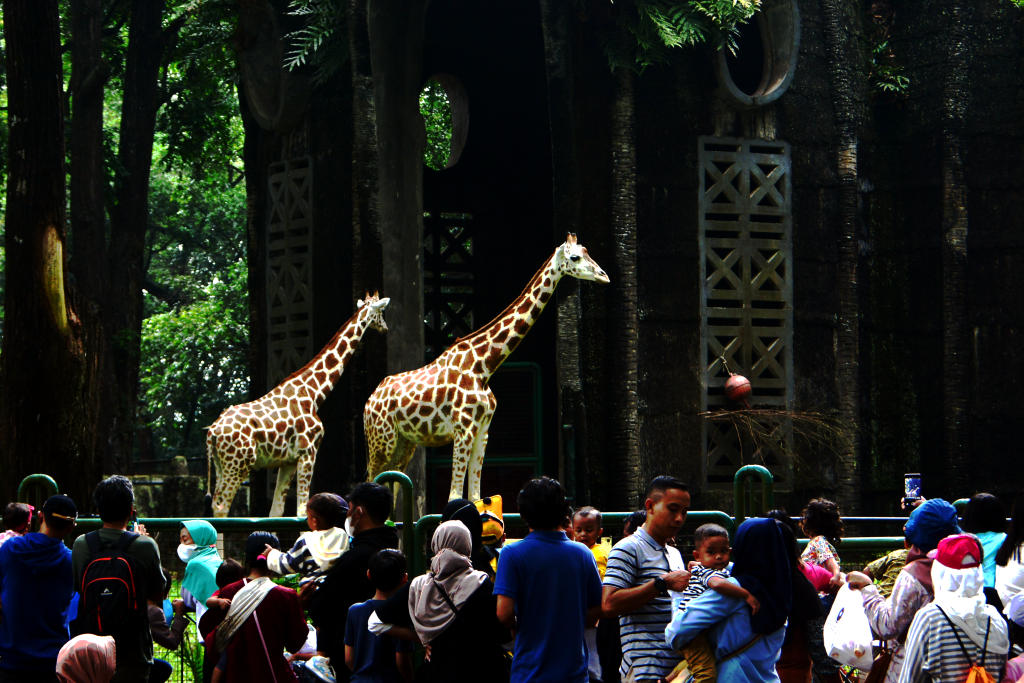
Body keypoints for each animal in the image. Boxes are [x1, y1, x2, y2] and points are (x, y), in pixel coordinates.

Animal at [205, 290, 389, 516]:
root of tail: (212, 432)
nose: (385, 328)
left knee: (216, 502)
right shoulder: (309, 452)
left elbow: (276, 511)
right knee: (221, 505)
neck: (313, 393)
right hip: (238, 464)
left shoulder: (288, 461)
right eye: (381, 311)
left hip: (221, 464)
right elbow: (302, 509)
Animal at [364, 235, 606, 501]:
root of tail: (369, 400)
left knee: (392, 483)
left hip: (404, 443)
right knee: (369, 480)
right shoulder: (464, 429)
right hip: (381, 440)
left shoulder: (483, 430)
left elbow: (476, 496)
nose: (604, 276)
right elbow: (455, 496)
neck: (483, 366)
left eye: (587, 251)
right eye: (575, 257)